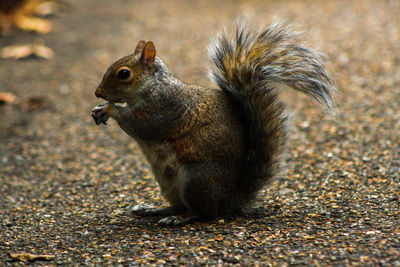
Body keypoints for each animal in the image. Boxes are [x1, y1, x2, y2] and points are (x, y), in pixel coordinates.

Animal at [92, 22, 336, 225]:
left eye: (124, 74)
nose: (98, 93)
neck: (153, 86)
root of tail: (230, 201)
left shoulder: (164, 108)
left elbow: (140, 124)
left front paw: (109, 109)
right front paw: (99, 108)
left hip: (196, 180)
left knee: (204, 212)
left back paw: (181, 218)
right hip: (168, 183)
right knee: (177, 205)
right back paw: (153, 209)